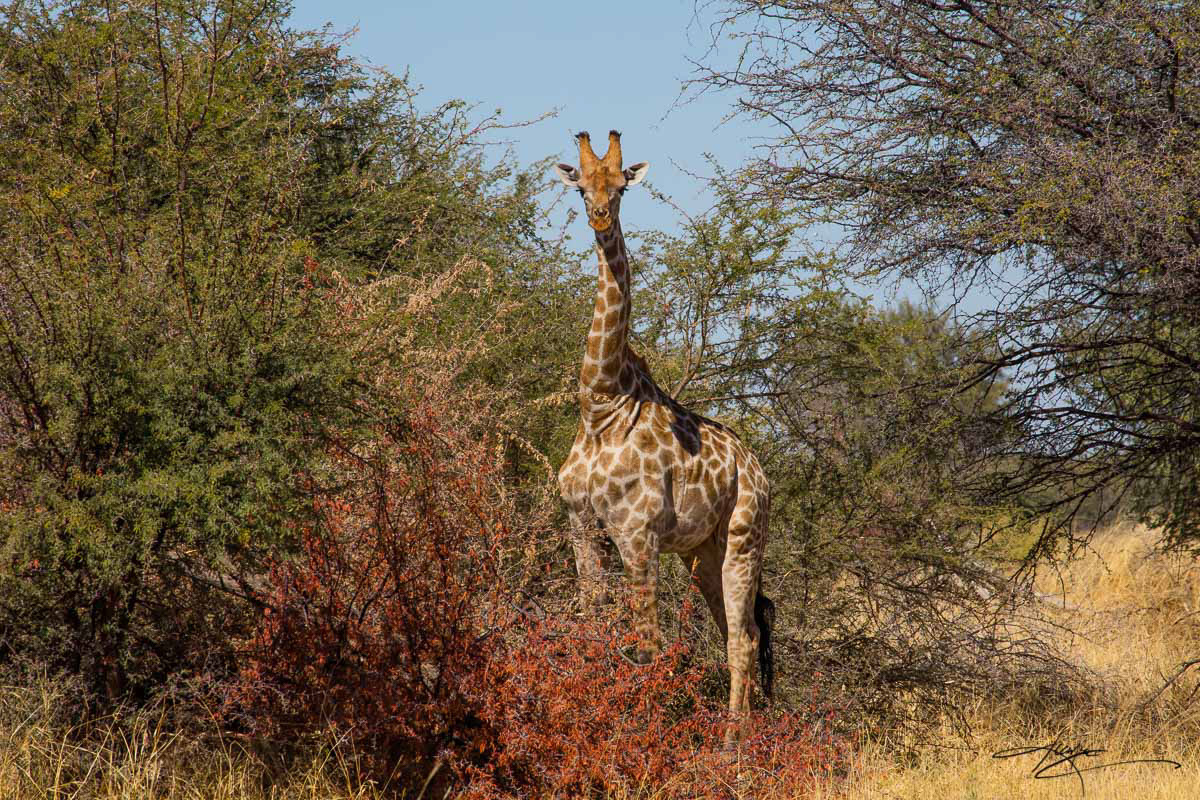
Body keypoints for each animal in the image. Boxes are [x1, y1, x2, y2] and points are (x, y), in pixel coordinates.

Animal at [554, 130, 775, 739]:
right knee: (746, 629)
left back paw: (733, 745)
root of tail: (757, 468)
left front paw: (641, 732)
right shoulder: (582, 526)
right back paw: (753, 731)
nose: (600, 217)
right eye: (581, 187)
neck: (601, 404)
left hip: (744, 538)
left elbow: (647, 645)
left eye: (622, 186)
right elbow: (594, 627)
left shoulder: (637, 533)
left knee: (741, 638)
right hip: (702, 551)